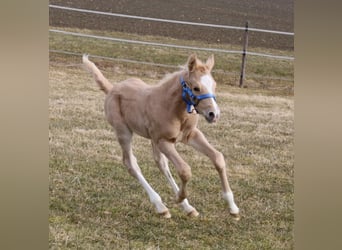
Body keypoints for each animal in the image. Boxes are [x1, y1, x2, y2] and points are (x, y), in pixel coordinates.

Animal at [82, 53, 240, 219]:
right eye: (196, 88)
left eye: (214, 85)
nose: (213, 114)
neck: (173, 108)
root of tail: (112, 89)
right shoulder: (164, 141)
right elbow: (185, 170)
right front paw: (178, 198)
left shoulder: (191, 135)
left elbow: (218, 158)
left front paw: (233, 208)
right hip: (124, 132)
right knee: (131, 163)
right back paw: (161, 206)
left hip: (152, 139)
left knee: (161, 164)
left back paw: (188, 208)